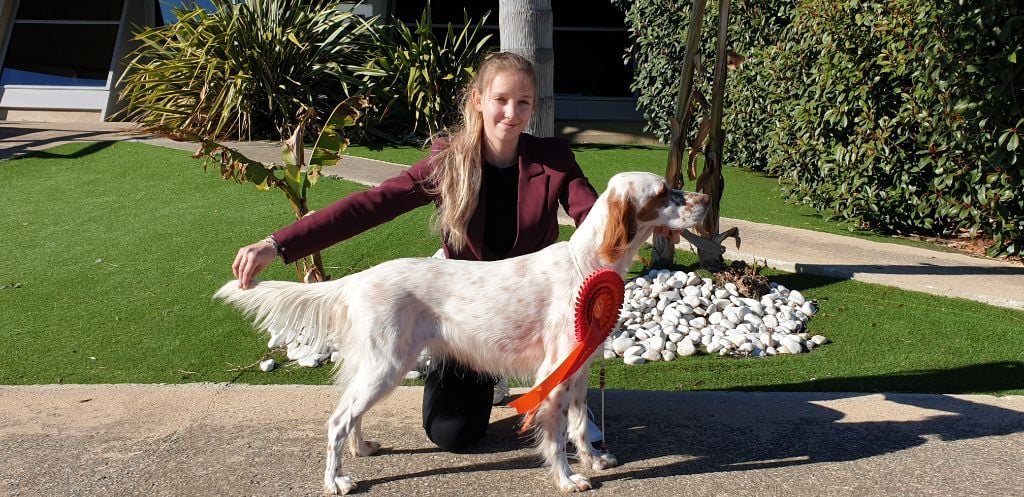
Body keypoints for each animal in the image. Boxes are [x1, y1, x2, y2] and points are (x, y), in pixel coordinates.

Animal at [214, 171, 712, 491]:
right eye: (665, 191)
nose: (707, 200)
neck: (586, 265)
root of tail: (359, 279)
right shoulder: (553, 372)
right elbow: (555, 435)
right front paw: (568, 478)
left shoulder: (579, 369)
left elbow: (577, 425)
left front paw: (593, 460)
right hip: (387, 365)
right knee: (338, 419)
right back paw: (335, 480)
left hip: (377, 366)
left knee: (349, 415)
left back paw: (362, 448)